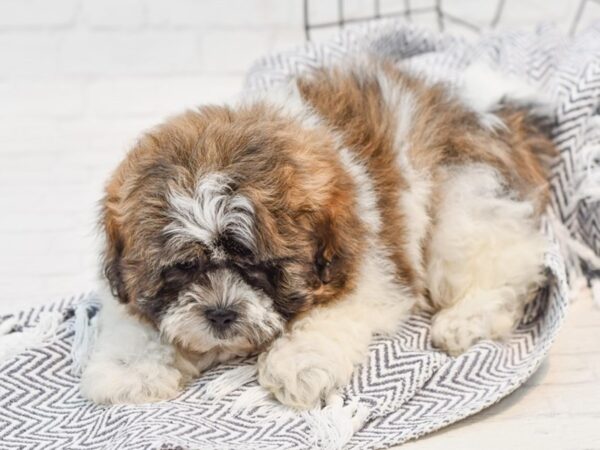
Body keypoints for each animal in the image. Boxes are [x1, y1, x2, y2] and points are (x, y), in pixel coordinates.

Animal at [81, 59, 556, 408]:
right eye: (181, 268)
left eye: (259, 266)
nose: (220, 313)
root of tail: (484, 114)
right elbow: (129, 317)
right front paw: (131, 368)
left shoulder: (365, 268)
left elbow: (329, 314)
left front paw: (298, 362)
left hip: (465, 196)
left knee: (503, 265)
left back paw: (465, 318)